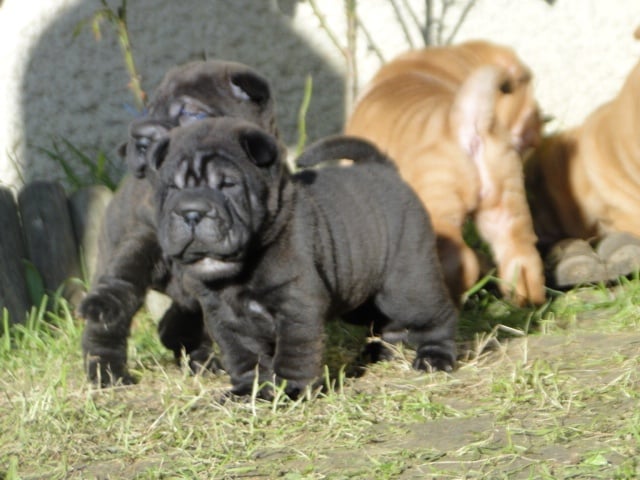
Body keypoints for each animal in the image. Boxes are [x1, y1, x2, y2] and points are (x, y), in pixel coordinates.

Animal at [79, 60, 278, 386]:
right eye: (149, 109)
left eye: (191, 112)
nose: (140, 136)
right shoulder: (145, 236)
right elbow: (124, 276)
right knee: (108, 327)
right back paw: (106, 371)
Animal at [141, 117, 458, 398]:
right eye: (172, 188)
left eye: (227, 185)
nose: (191, 211)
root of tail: (384, 168)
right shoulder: (224, 318)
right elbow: (243, 358)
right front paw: (248, 391)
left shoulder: (295, 305)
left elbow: (294, 353)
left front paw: (290, 390)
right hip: (359, 295)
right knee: (387, 323)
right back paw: (378, 352)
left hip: (405, 288)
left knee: (436, 315)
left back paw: (435, 358)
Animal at [345, 40, 545, 305]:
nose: (538, 133)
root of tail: (469, 124)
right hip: (505, 207)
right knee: (521, 258)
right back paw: (527, 303)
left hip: (437, 212)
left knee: (460, 262)